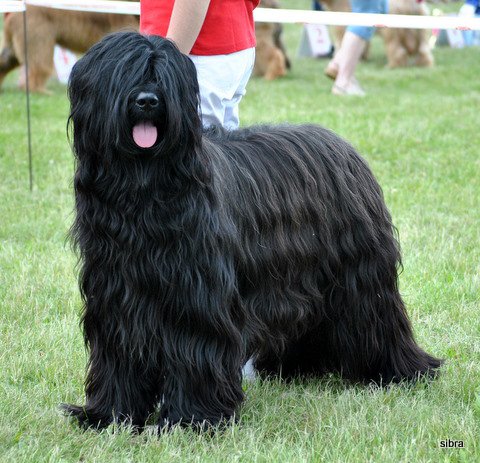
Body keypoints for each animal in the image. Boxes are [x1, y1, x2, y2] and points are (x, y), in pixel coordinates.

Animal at [0, 5, 139, 92]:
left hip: (15, 47)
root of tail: (14, 13)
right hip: (39, 42)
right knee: (37, 70)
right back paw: (41, 92)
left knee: (5, 62)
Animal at [63, 31, 442, 432]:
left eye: (162, 75)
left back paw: (403, 371)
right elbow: (119, 353)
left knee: (377, 317)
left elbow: (194, 348)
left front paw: (191, 419)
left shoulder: (196, 297)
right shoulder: (116, 295)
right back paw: (296, 369)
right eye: (124, 72)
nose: (147, 100)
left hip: (359, 277)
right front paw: (108, 415)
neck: (144, 188)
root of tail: (343, 147)